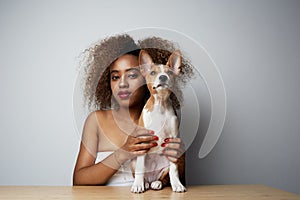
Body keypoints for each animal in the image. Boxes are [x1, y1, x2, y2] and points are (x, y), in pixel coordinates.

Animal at [131, 49, 186, 193]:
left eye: (170, 73)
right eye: (153, 73)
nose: (163, 77)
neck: (160, 105)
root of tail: (152, 177)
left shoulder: (172, 142)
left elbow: (174, 170)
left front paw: (177, 184)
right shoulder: (143, 140)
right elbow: (140, 169)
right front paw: (137, 185)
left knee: (164, 177)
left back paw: (157, 183)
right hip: (133, 162)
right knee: (142, 172)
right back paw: (144, 183)